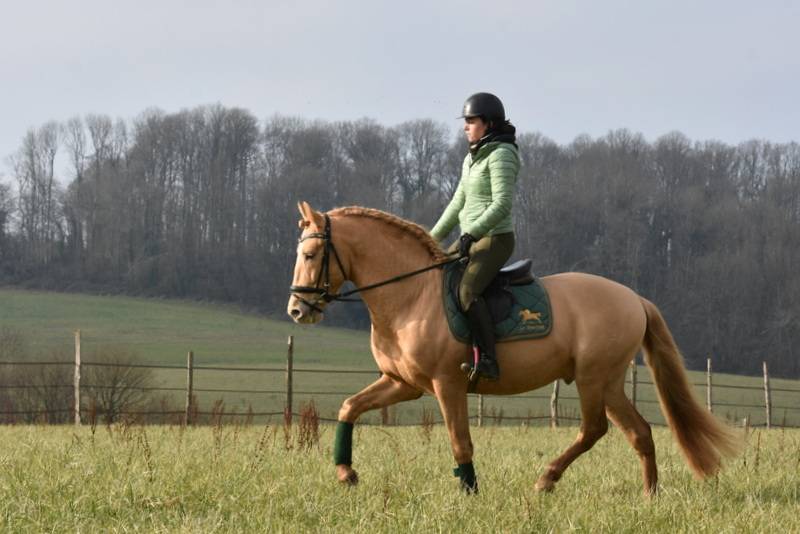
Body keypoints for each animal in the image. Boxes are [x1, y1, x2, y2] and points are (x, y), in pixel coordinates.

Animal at [286, 201, 740, 496]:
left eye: (310, 253)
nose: (296, 310)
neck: (411, 295)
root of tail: (633, 298)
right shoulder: (402, 383)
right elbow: (349, 407)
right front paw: (345, 473)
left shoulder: (447, 384)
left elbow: (460, 440)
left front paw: (469, 492)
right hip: (609, 382)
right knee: (638, 432)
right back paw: (649, 494)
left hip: (593, 378)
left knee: (595, 429)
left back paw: (547, 479)